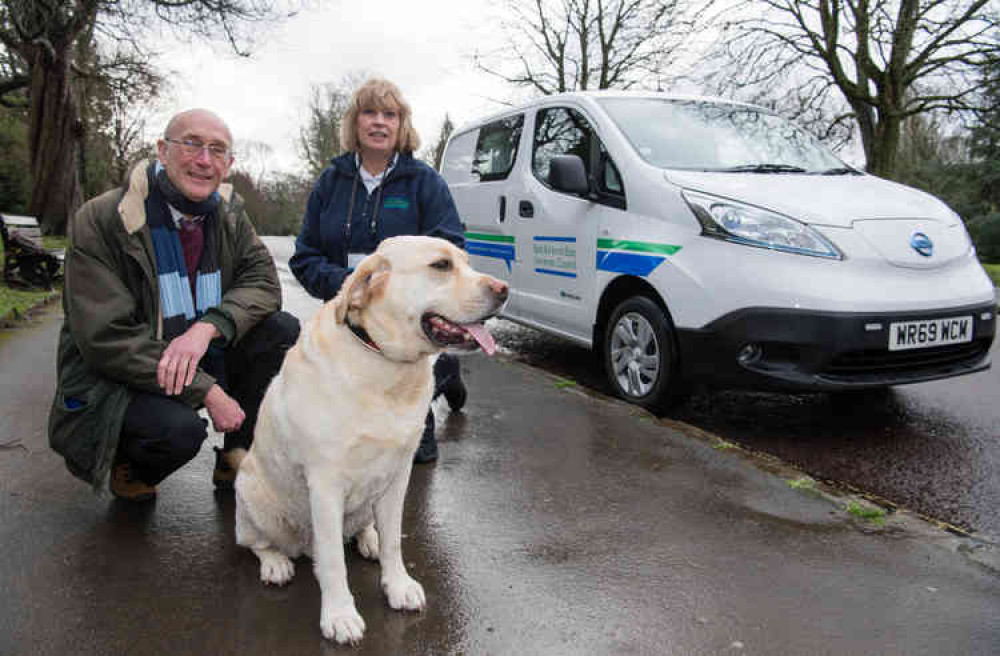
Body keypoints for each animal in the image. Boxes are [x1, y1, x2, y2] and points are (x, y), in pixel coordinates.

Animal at [230, 234, 504, 640]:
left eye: (467, 262)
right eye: (441, 265)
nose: (505, 290)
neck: (386, 368)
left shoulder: (398, 475)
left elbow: (393, 542)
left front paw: (397, 584)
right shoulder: (325, 484)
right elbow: (332, 561)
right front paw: (339, 614)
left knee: (364, 527)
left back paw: (367, 538)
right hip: (253, 496)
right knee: (257, 542)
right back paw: (275, 563)